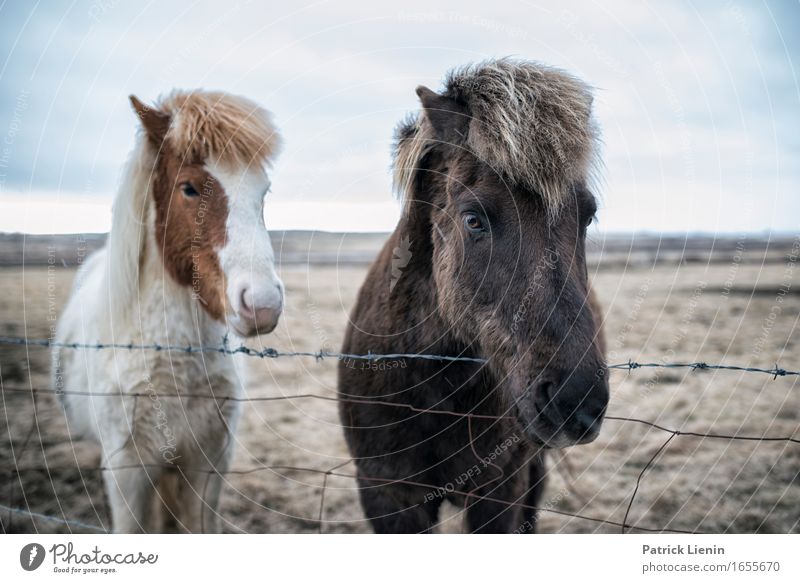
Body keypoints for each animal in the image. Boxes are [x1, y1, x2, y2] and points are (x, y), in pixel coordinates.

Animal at [52, 90, 284, 532]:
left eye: (264, 192)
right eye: (189, 188)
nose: (263, 304)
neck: (179, 372)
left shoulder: (208, 469)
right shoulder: (126, 474)